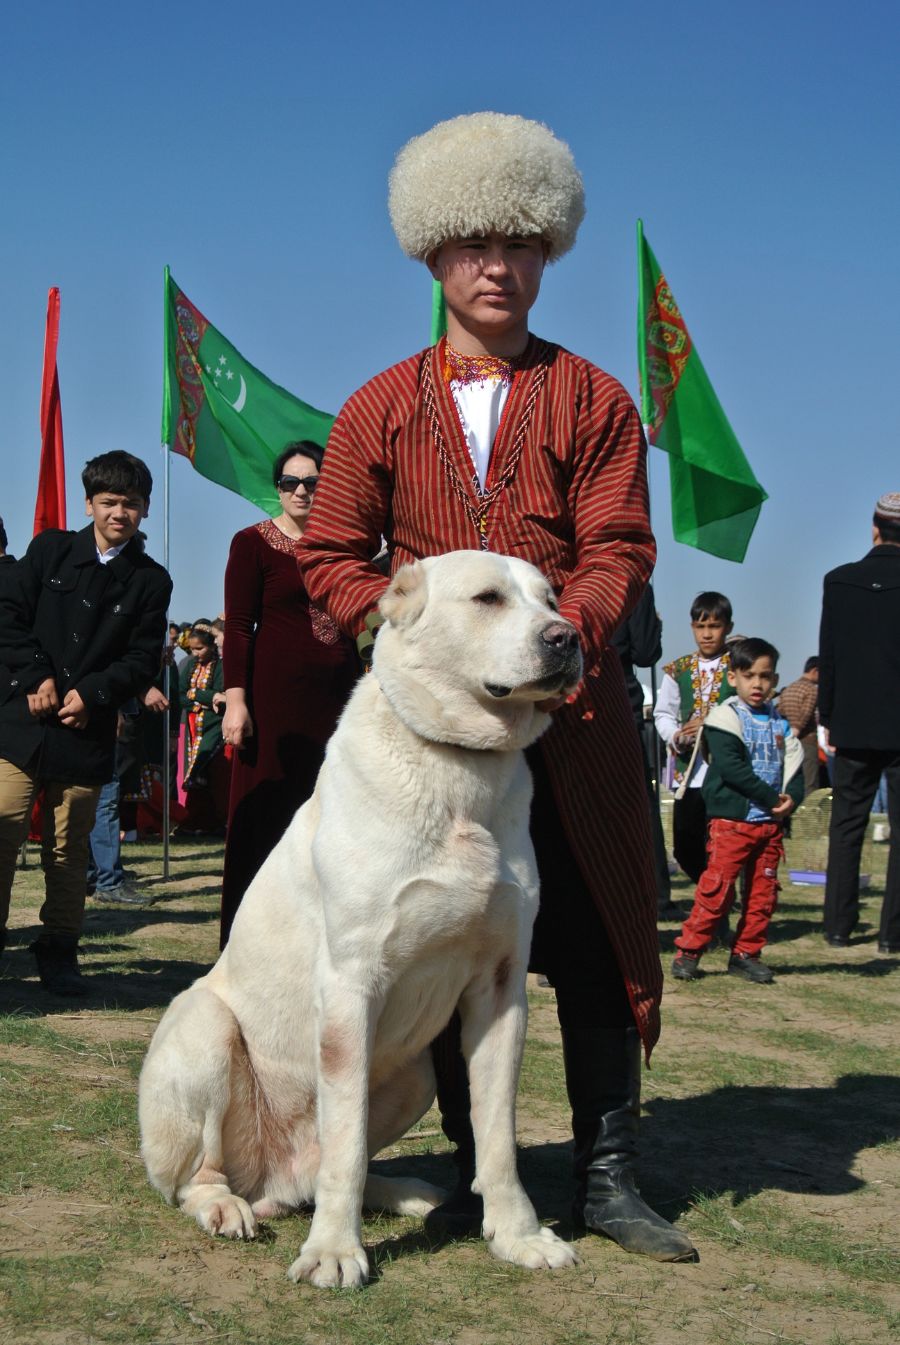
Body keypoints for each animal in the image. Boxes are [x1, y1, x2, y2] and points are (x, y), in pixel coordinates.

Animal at [137, 548, 578, 1291]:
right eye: (487, 598)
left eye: (551, 599)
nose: (568, 638)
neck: (459, 770)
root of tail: (274, 1183)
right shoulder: (350, 986)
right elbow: (343, 1141)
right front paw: (334, 1253)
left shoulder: (501, 989)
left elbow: (497, 1134)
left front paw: (518, 1235)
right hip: (204, 1026)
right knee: (200, 1176)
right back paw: (226, 1206)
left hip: (418, 1073)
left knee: (330, 1168)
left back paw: (407, 1193)